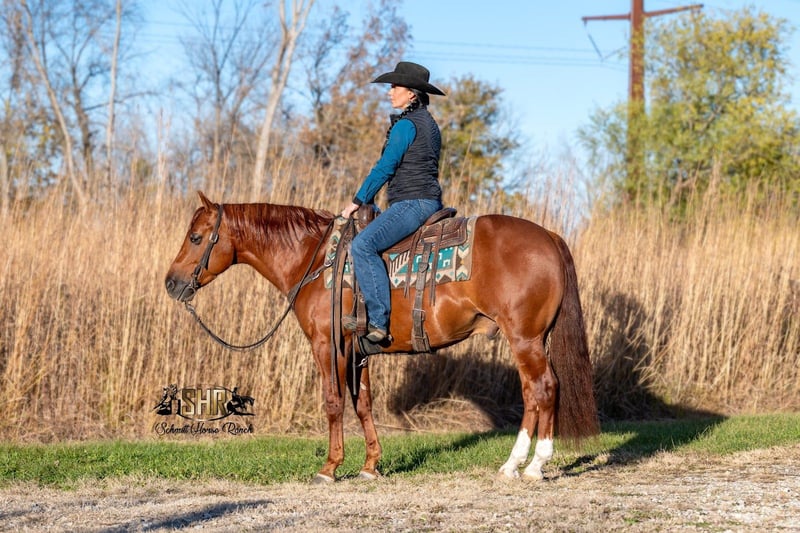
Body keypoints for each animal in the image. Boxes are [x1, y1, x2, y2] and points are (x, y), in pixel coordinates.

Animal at [165, 191, 599, 482]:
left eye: (196, 238)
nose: (171, 283)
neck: (314, 260)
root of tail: (549, 237)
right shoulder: (358, 351)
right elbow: (363, 405)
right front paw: (371, 465)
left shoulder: (327, 345)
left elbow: (334, 402)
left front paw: (330, 467)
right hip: (529, 340)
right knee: (532, 393)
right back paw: (514, 465)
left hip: (524, 338)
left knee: (543, 388)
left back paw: (533, 466)